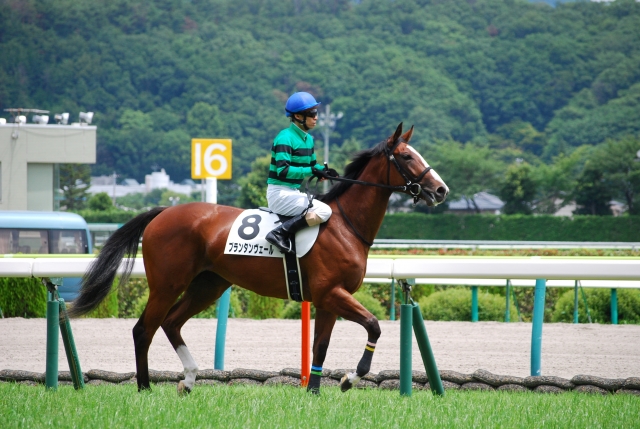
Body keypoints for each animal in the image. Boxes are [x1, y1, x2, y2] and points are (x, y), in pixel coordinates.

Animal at [69, 123, 448, 394]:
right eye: (407, 157)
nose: (441, 189)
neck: (345, 224)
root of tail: (163, 212)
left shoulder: (327, 299)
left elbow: (321, 347)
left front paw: (314, 392)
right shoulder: (332, 293)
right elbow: (373, 325)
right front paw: (349, 379)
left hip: (209, 285)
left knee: (172, 323)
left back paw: (188, 379)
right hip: (167, 284)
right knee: (143, 329)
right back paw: (145, 388)